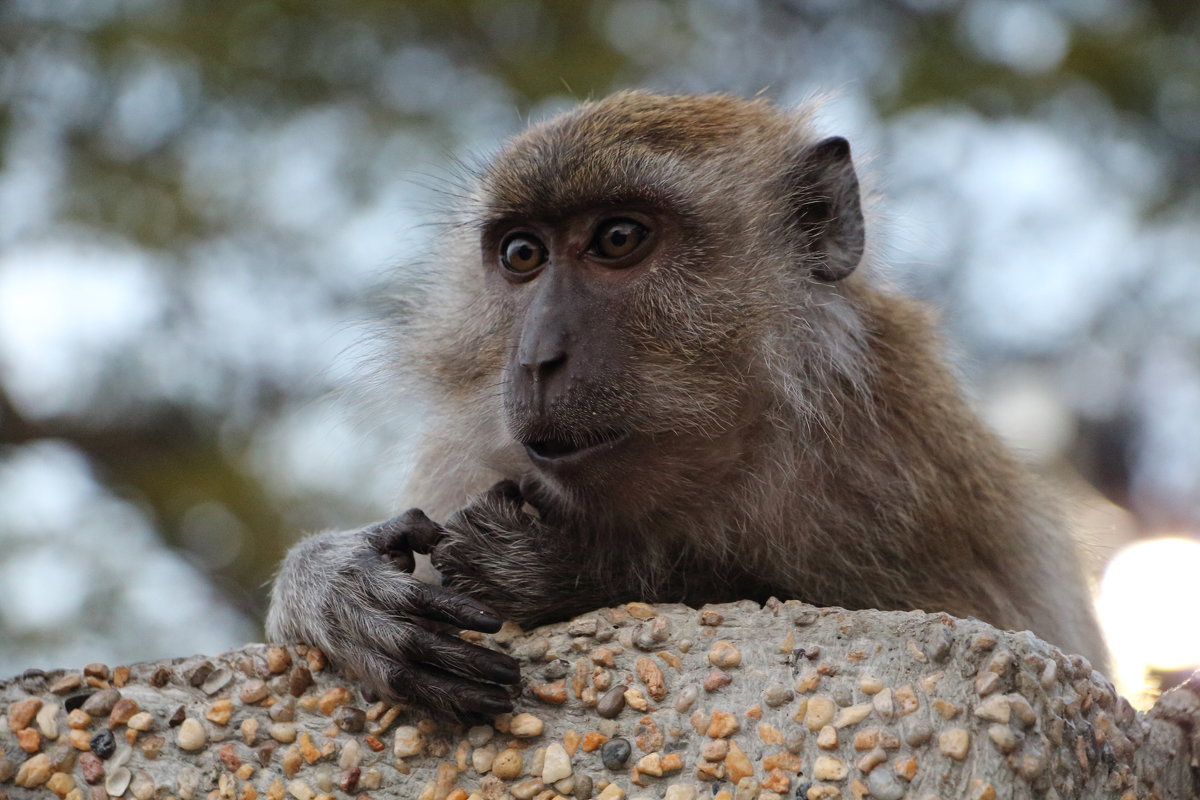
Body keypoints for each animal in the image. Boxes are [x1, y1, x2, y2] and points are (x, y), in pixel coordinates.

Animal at [267, 90, 1108, 714]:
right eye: (522, 253)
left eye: (617, 239)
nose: (537, 358)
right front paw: (332, 582)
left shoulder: (910, 476)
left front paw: (572, 573)